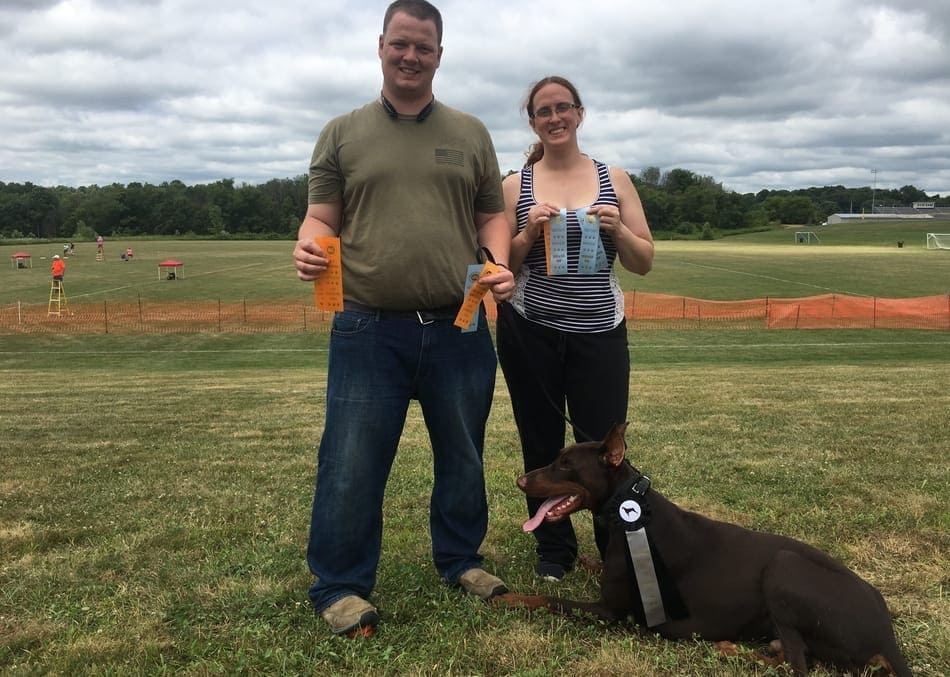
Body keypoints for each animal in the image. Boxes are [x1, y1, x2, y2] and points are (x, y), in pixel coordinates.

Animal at [502, 422, 912, 676]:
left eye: (565, 465)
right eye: (557, 458)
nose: (520, 480)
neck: (631, 510)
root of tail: (887, 636)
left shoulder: (610, 610)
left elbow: (547, 599)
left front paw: (508, 598)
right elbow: (593, 567)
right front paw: (586, 560)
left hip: (784, 568)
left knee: (796, 666)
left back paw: (728, 648)